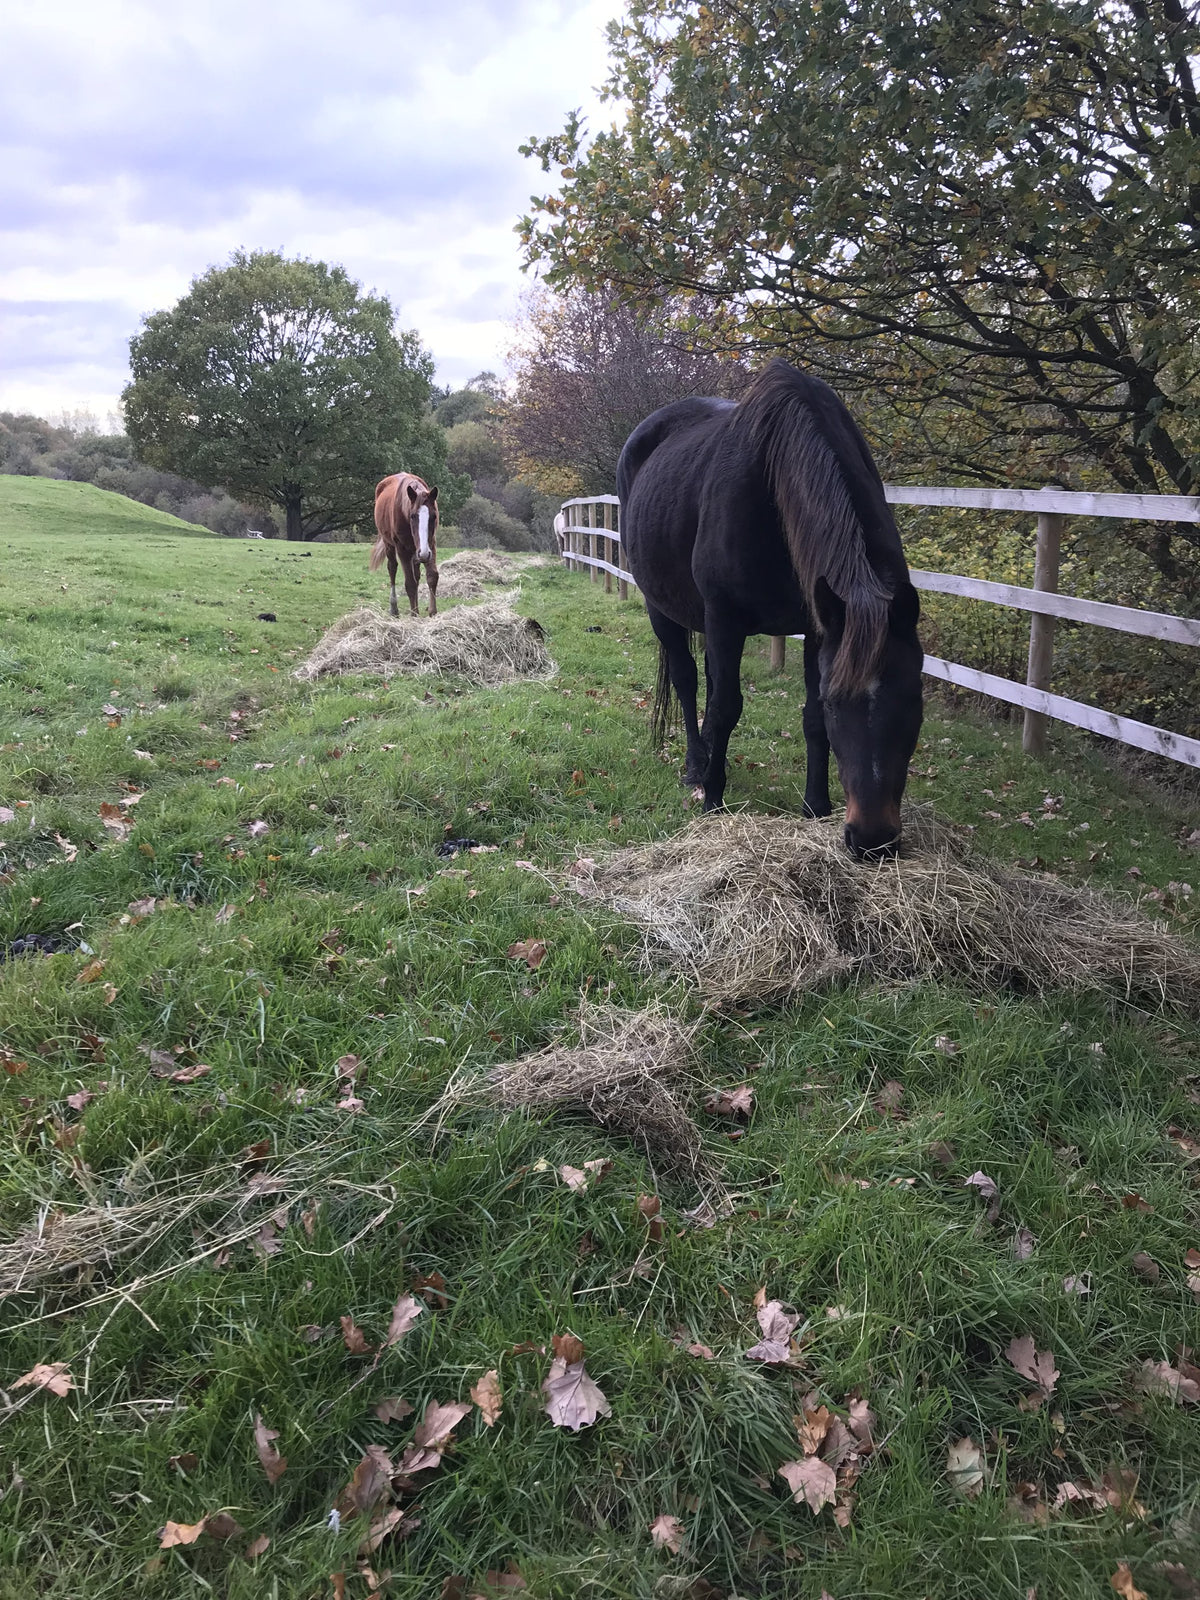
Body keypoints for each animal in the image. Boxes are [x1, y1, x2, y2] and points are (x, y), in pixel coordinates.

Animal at [371, 473, 440, 618]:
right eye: (413, 516)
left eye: (434, 516)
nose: (423, 553)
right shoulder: (402, 549)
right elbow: (410, 583)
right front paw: (414, 614)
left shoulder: (430, 545)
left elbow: (432, 576)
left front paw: (432, 612)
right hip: (390, 545)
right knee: (392, 568)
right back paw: (394, 608)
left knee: (417, 575)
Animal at [616, 359, 924, 858]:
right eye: (840, 703)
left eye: (914, 700)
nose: (873, 839)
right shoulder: (725, 617)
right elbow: (726, 706)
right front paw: (713, 802)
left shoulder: (820, 627)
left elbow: (809, 718)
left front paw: (815, 805)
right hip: (662, 610)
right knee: (687, 680)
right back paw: (696, 765)